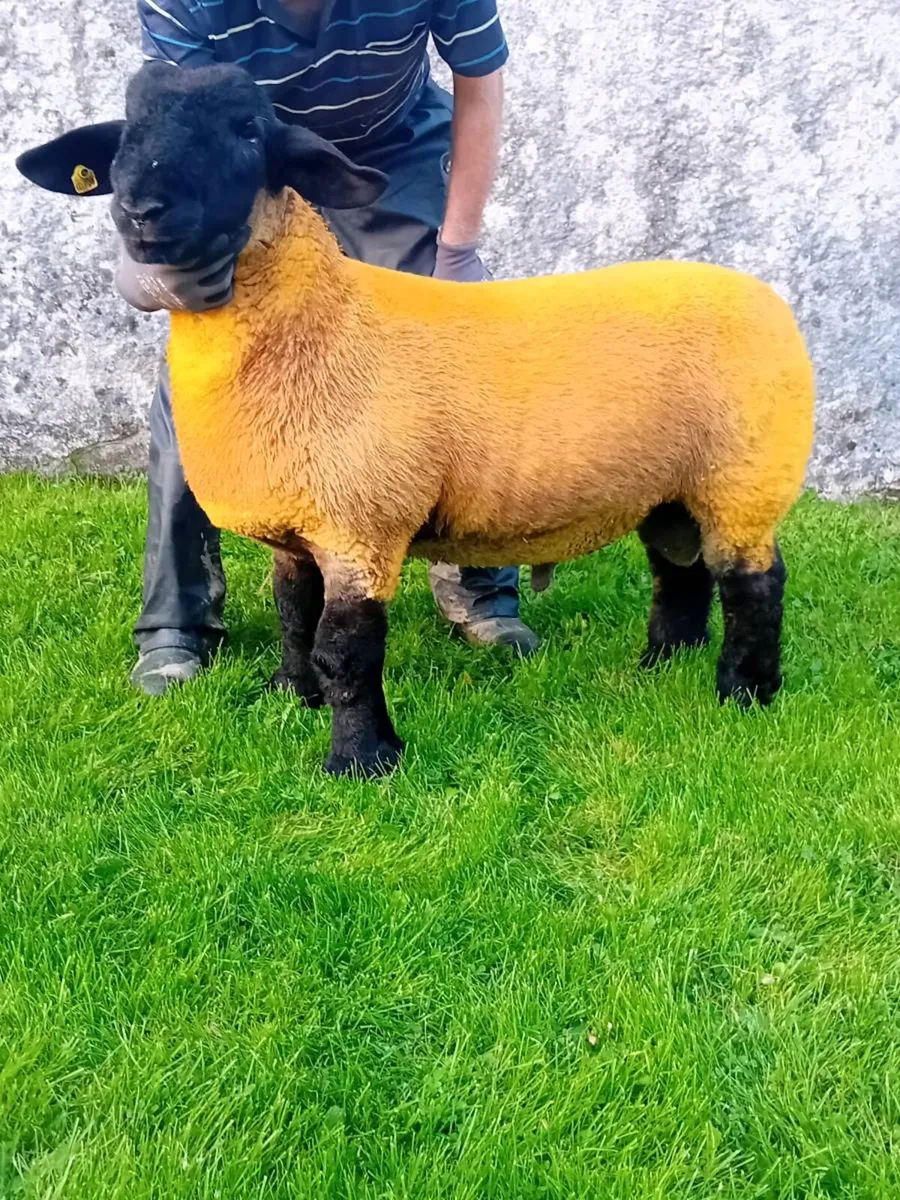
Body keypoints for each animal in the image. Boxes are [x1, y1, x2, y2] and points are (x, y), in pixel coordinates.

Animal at [17, 62, 816, 778]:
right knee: (681, 570)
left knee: (754, 582)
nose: (142, 211)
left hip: (744, 477)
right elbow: (292, 613)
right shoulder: (299, 527)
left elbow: (345, 649)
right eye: (128, 133)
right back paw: (662, 663)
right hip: (672, 486)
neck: (321, 324)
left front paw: (362, 761)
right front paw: (291, 694)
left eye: (247, 131)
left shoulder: (361, 524)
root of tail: (768, 297)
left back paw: (744, 692)